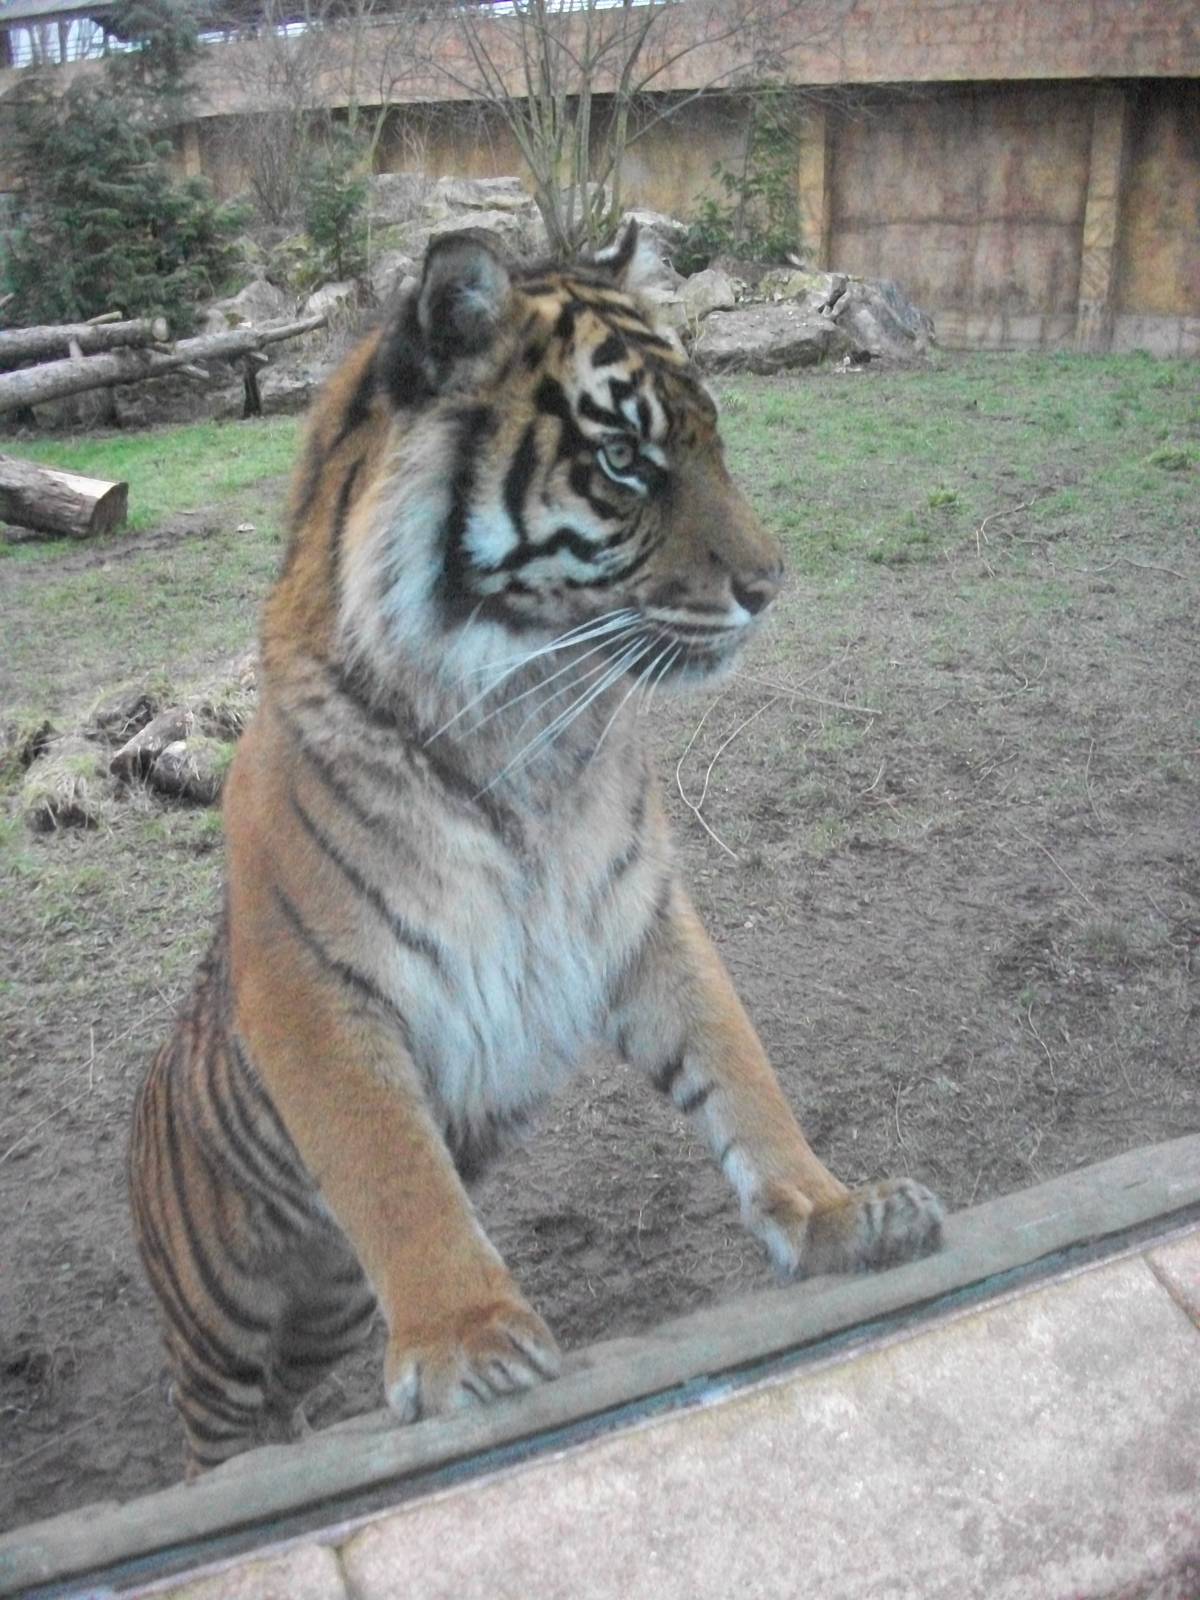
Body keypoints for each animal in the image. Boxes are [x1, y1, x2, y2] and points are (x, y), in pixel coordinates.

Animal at [129, 223, 944, 1475]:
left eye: (712, 441)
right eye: (623, 460)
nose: (770, 586)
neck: (530, 715)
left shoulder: (642, 918)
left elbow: (745, 1075)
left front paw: (835, 1216)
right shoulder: (315, 987)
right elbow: (395, 1172)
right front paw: (467, 1338)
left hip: (327, 1308)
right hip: (215, 1324)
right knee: (222, 1427)